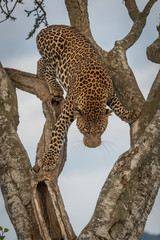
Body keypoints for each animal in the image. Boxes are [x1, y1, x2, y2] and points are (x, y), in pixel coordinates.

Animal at [34, 25, 140, 172]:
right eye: (85, 130)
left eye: (101, 130)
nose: (93, 147)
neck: (93, 97)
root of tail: (46, 28)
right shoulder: (66, 114)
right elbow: (57, 134)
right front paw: (49, 159)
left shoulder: (111, 94)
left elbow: (118, 106)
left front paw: (130, 114)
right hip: (52, 55)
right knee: (47, 68)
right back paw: (54, 86)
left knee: (40, 61)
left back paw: (40, 74)